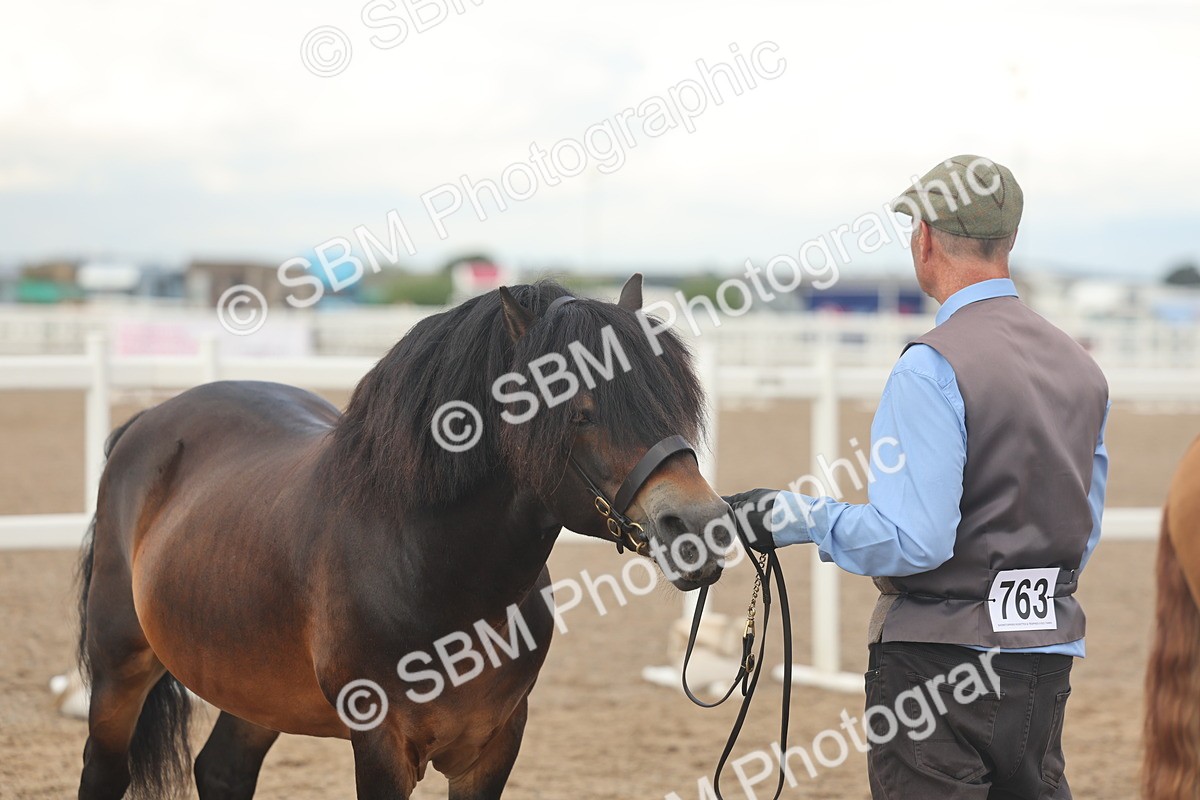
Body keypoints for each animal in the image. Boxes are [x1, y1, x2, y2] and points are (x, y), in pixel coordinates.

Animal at [76, 274, 733, 799]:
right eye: (578, 410)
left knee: (222, 769)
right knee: (106, 771)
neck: (434, 572)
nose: (701, 525)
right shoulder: (382, 746)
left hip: (255, 686)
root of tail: (148, 421)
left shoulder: (492, 748)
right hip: (119, 669)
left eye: (672, 401)